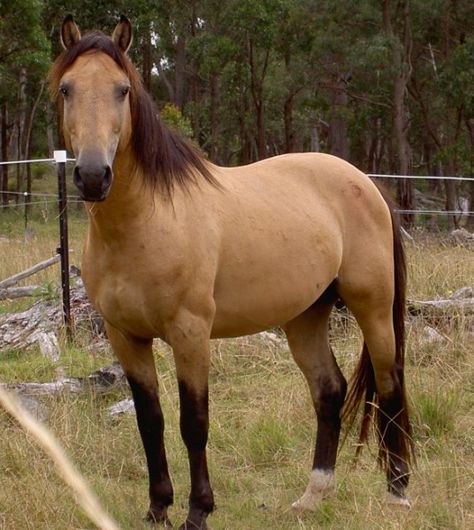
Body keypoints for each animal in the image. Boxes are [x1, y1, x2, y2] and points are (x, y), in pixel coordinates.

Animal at [47, 14, 412, 524]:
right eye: (67, 89)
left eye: (122, 89)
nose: (94, 175)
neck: (146, 221)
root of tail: (367, 182)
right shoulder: (126, 337)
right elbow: (150, 420)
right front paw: (157, 508)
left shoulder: (190, 333)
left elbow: (194, 422)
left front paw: (198, 511)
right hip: (305, 317)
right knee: (329, 390)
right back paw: (313, 494)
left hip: (373, 308)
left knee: (390, 382)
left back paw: (398, 491)